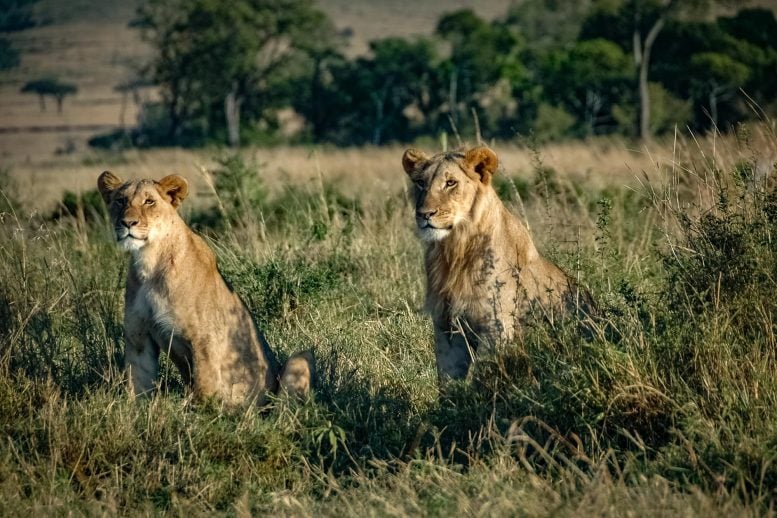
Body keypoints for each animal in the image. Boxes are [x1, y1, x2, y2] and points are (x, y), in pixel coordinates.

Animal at [97, 172, 312, 406]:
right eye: (120, 201)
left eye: (149, 201)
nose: (128, 223)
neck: (149, 260)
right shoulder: (139, 337)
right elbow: (138, 385)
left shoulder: (204, 338)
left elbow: (204, 388)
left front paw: (205, 414)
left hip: (299, 359)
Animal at [404, 145, 592, 382]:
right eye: (420, 182)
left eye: (451, 183)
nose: (424, 214)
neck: (454, 250)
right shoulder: (445, 328)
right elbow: (448, 380)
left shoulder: (497, 327)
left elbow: (483, 375)